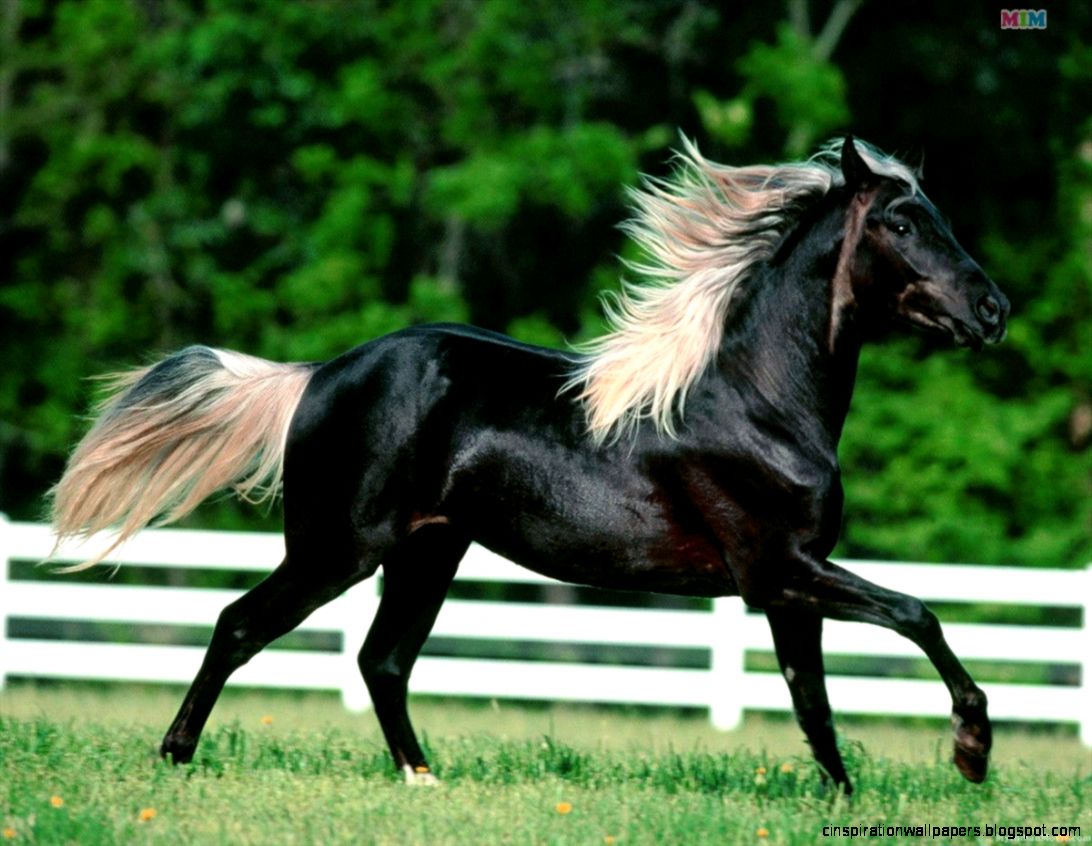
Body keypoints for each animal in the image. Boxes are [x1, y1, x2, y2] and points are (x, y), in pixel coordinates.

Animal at [50, 136, 1009, 794]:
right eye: (900, 222)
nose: (993, 310)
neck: (758, 402)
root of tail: (318, 375)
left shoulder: (786, 583)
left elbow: (812, 700)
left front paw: (844, 798)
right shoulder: (781, 568)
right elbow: (917, 615)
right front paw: (971, 753)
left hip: (426, 553)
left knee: (381, 662)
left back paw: (423, 780)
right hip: (337, 551)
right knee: (240, 626)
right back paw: (175, 756)